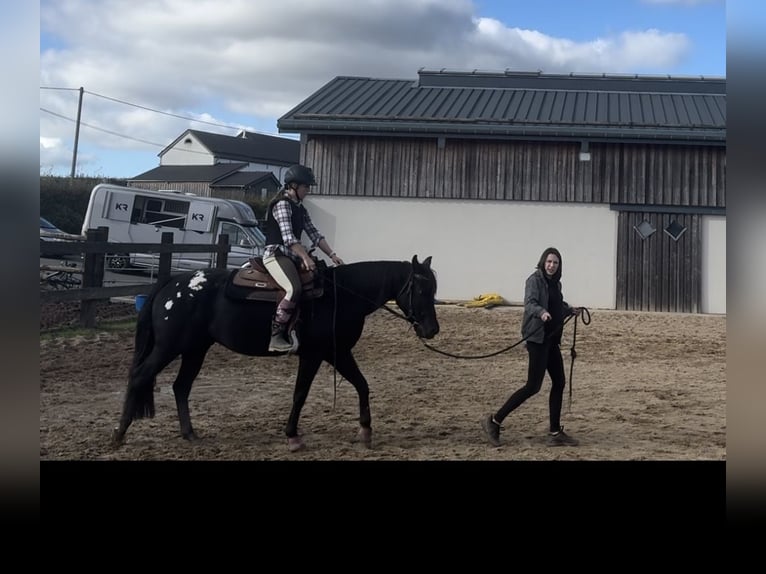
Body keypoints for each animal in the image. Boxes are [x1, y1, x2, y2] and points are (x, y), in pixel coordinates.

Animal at [111, 254, 440, 452]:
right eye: (421, 290)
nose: (432, 330)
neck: (342, 293)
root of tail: (171, 283)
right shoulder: (314, 355)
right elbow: (300, 394)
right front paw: (292, 436)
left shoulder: (338, 353)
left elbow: (362, 385)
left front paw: (365, 431)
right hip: (169, 347)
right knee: (140, 376)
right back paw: (118, 435)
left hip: (195, 349)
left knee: (181, 386)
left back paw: (189, 433)